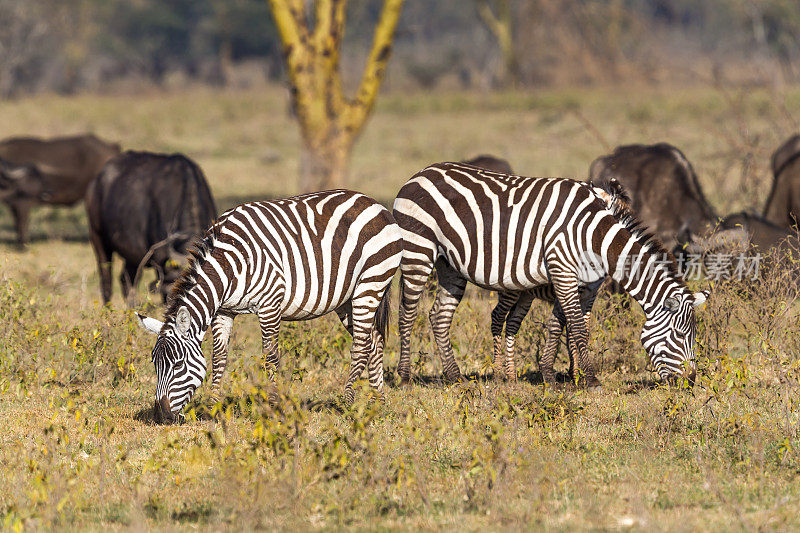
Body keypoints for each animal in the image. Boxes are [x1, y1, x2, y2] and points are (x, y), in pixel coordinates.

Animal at [86, 152, 217, 306]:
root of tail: (97, 181)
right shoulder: (160, 262)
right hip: (98, 238)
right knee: (106, 277)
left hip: (132, 256)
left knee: (127, 280)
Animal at [136, 189, 406, 422]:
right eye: (154, 364)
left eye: (178, 364)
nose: (161, 416)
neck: (229, 264)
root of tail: (373, 202)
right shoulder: (224, 311)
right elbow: (219, 357)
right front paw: (212, 407)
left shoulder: (270, 304)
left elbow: (270, 357)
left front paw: (274, 407)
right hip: (347, 298)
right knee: (374, 340)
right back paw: (378, 402)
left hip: (370, 282)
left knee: (361, 346)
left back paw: (347, 402)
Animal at [390, 162, 708, 386]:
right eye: (680, 335)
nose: (690, 382)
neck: (595, 235)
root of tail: (421, 173)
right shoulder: (562, 270)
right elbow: (575, 326)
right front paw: (588, 378)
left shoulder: (585, 285)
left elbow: (571, 325)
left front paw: (564, 375)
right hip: (418, 249)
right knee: (407, 312)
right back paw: (405, 377)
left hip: (449, 264)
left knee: (439, 316)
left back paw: (455, 377)